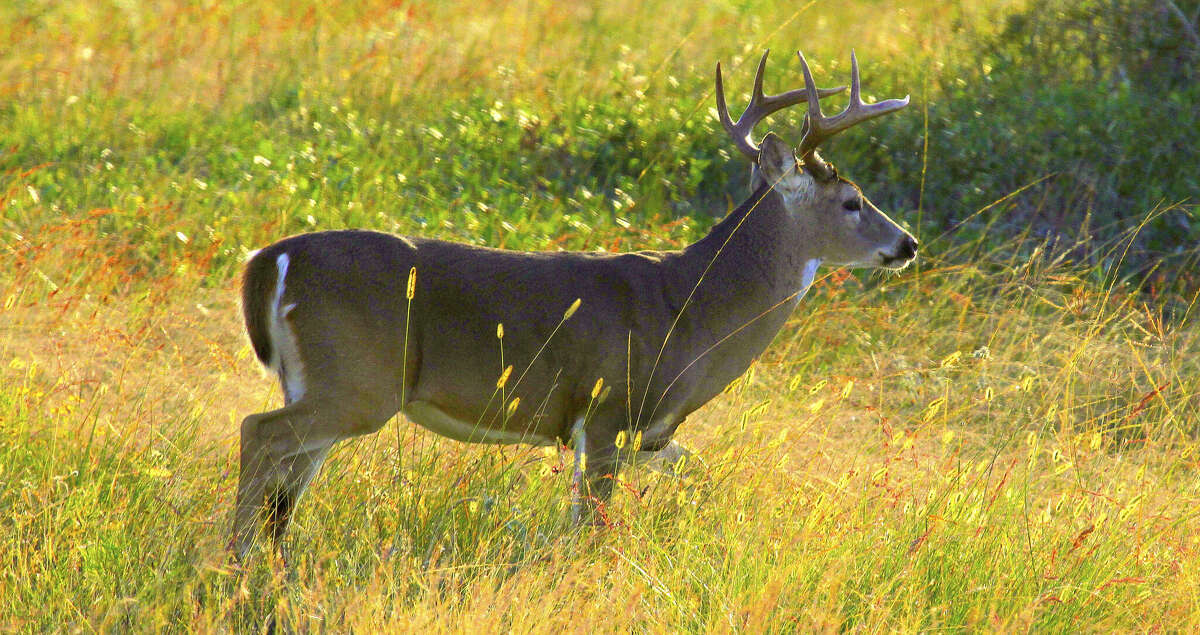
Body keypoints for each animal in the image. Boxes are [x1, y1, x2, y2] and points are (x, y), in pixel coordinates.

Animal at [232, 49, 916, 560]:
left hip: (323, 384)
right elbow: (591, 524)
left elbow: (693, 474)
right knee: (259, 433)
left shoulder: (648, 433)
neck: (691, 310)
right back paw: (237, 559)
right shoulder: (608, 407)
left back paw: (268, 559)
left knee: (285, 480)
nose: (906, 243)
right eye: (853, 201)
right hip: (358, 382)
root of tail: (272, 258)